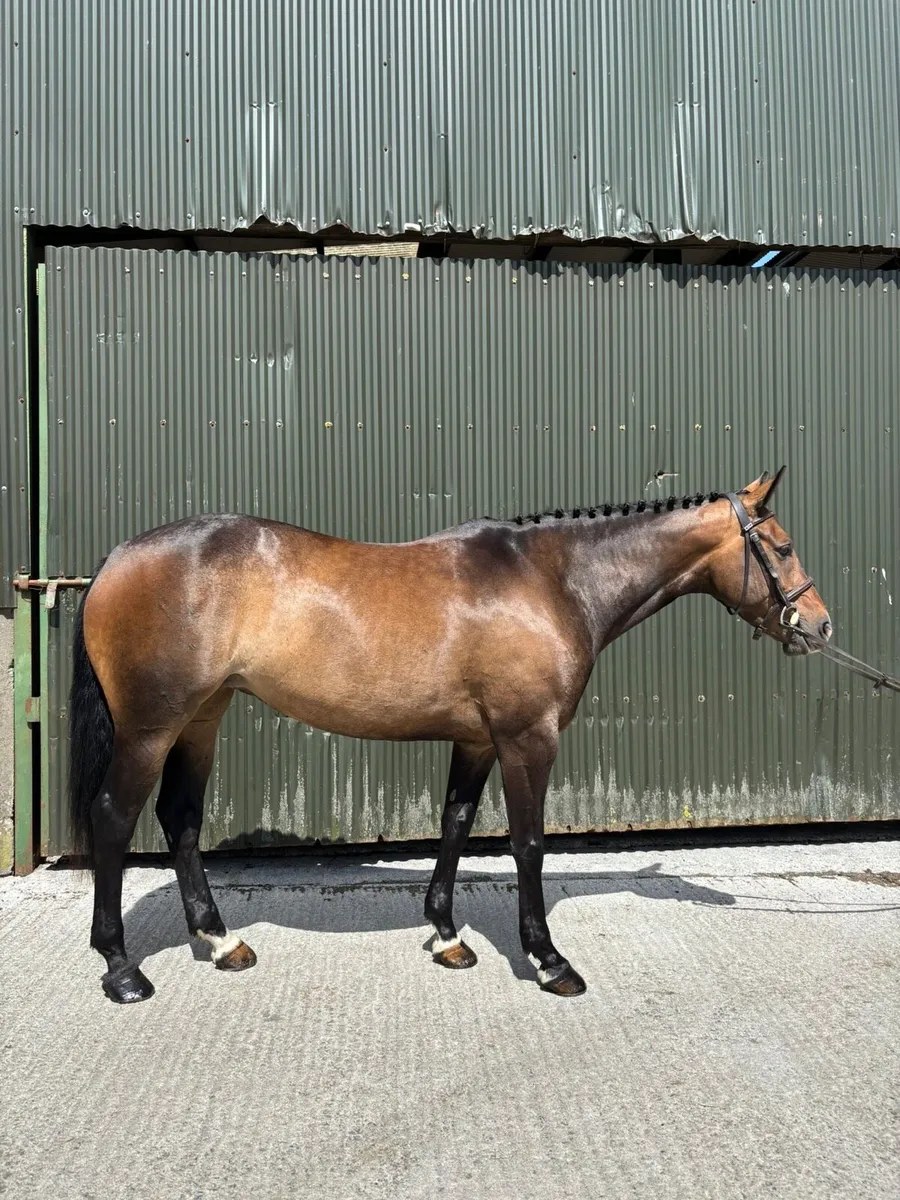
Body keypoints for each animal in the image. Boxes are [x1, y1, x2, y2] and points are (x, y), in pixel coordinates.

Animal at [68, 466, 831, 1003]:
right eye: (784, 547)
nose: (821, 626)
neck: (552, 580)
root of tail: (116, 558)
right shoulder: (528, 738)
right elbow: (527, 845)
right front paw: (548, 960)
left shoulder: (478, 741)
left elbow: (456, 825)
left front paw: (446, 936)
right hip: (151, 727)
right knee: (114, 818)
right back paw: (121, 969)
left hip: (202, 716)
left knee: (181, 818)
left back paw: (220, 940)